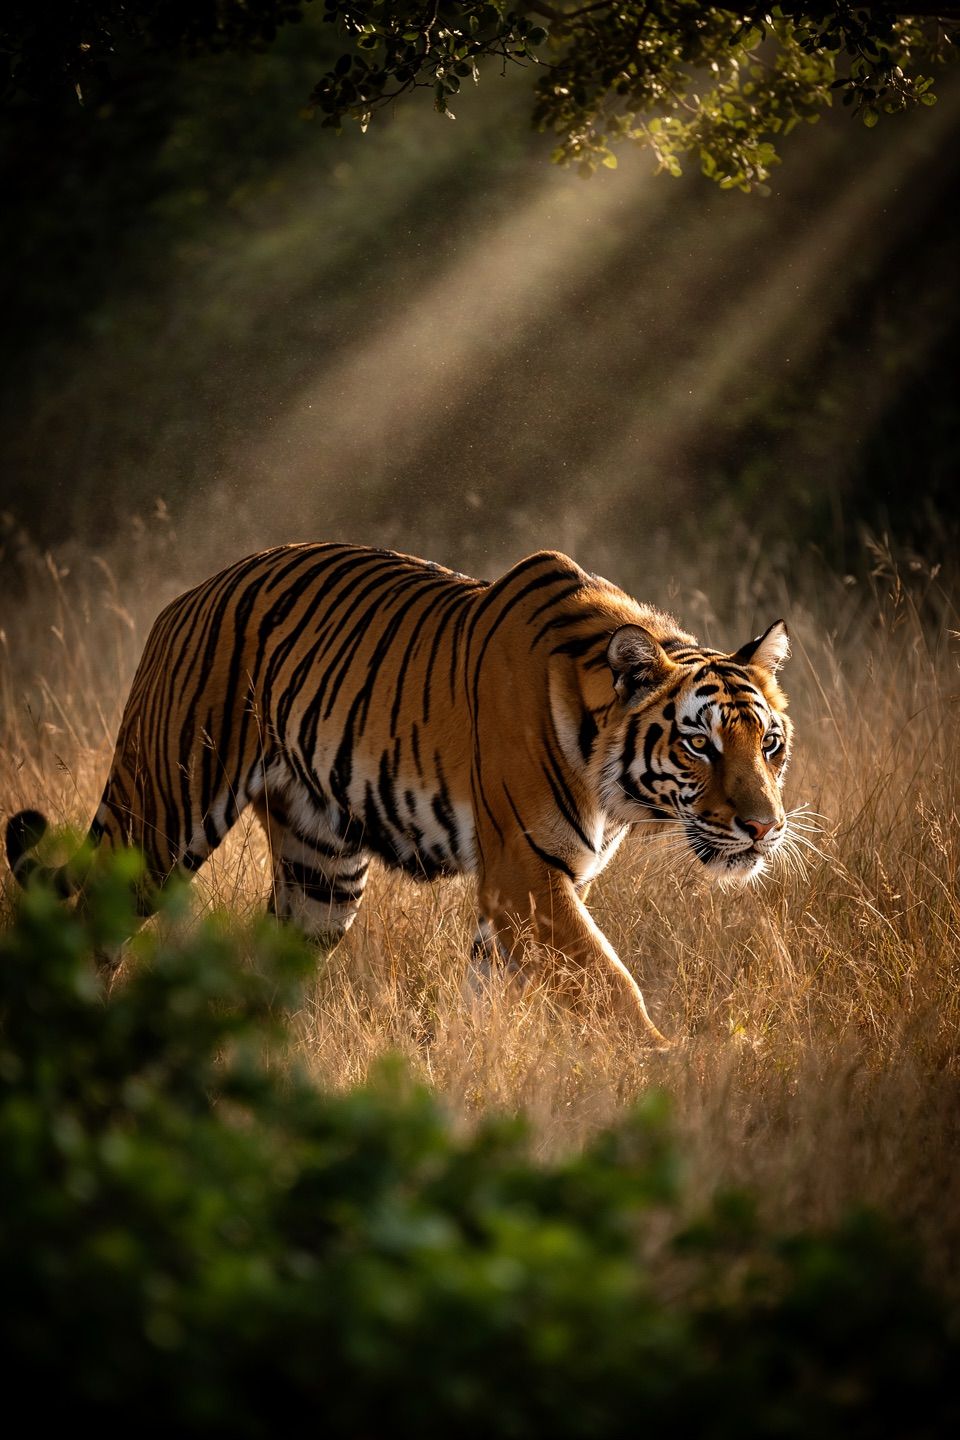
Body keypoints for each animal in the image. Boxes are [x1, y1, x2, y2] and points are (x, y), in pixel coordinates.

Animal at [5, 543, 793, 1045]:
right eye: (700, 744)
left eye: (770, 744)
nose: (764, 828)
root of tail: (184, 600)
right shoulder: (527, 878)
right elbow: (611, 983)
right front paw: (666, 1066)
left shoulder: (527, 892)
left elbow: (486, 995)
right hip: (163, 813)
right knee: (95, 923)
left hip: (320, 870)